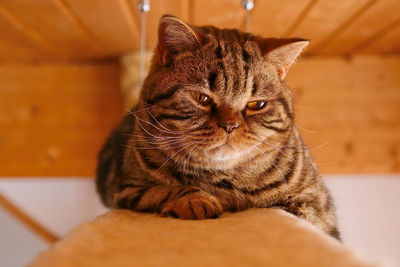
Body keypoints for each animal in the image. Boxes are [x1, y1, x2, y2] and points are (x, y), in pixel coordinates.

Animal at [97, 14, 340, 241]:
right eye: (201, 98)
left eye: (256, 104)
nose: (230, 125)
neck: (225, 180)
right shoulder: (125, 190)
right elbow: (160, 191)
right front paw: (195, 199)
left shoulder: (316, 206)